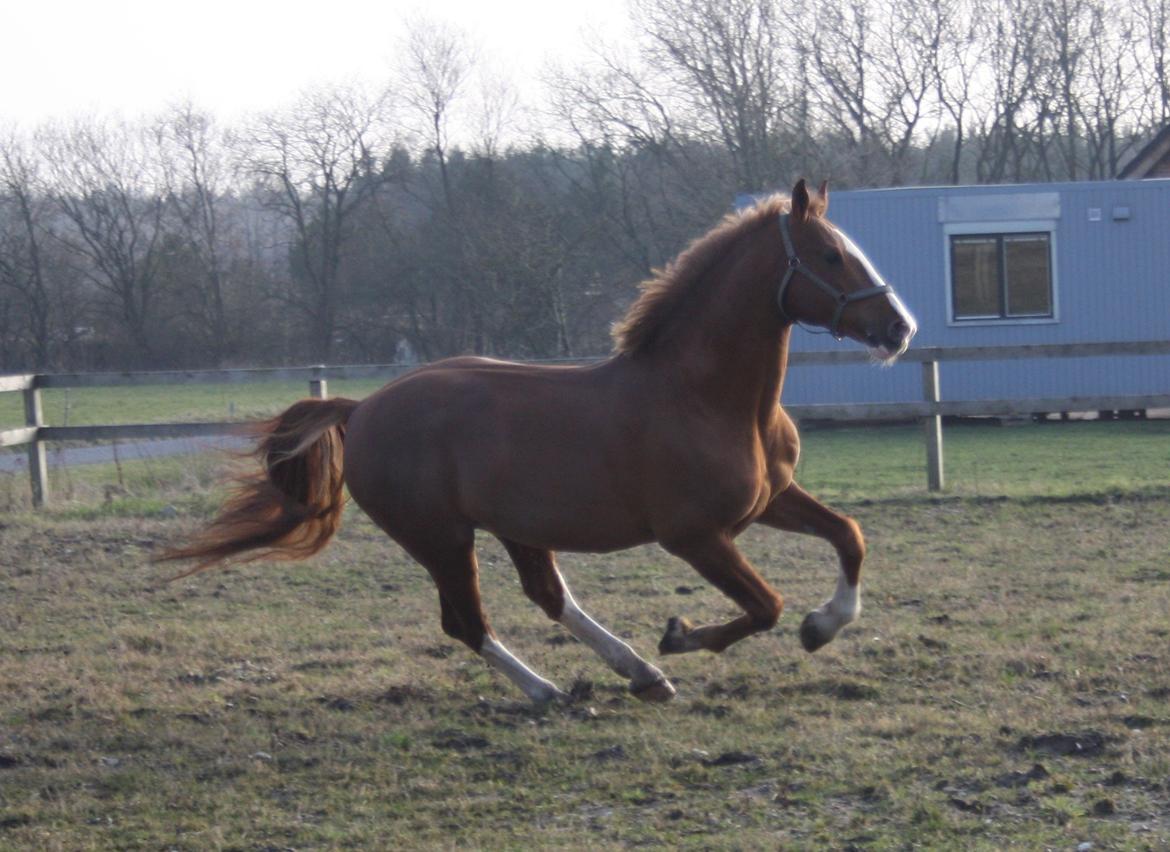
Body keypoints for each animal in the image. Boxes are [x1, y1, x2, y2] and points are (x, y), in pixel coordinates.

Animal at [164, 181, 912, 706]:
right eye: (830, 255)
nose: (900, 328)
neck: (706, 398)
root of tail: (365, 406)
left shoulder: (771, 500)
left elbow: (849, 537)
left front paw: (825, 624)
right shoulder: (695, 536)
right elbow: (764, 606)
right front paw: (683, 636)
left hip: (516, 527)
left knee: (548, 597)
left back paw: (639, 675)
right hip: (441, 538)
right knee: (466, 622)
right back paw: (555, 690)